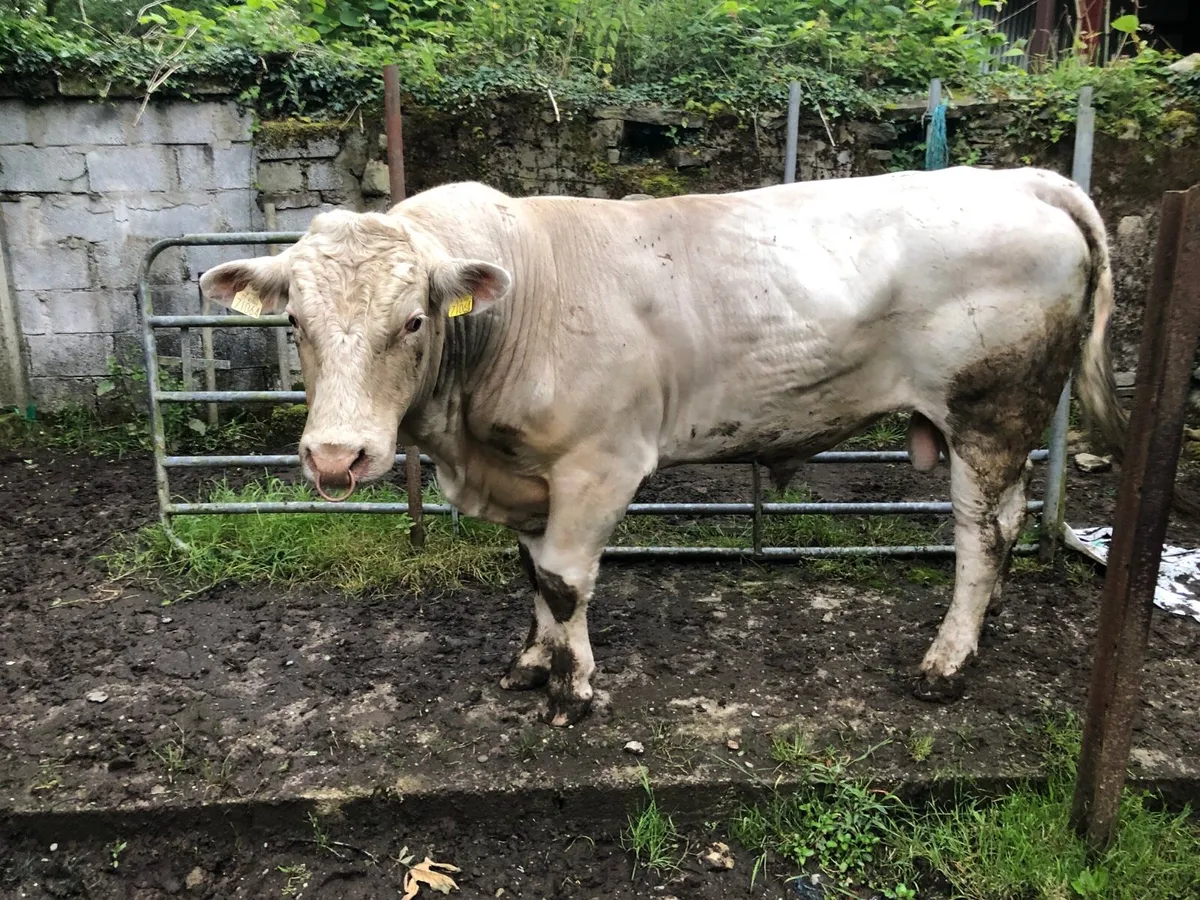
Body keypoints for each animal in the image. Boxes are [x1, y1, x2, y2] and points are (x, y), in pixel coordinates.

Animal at [199, 166, 1129, 727]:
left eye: (415, 320)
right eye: (295, 320)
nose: (336, 458)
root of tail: (1025, 178)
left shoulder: (599, 463)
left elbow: (566, 581)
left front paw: (572, 688)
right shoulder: (532, 473)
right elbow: (532, 575)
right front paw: (532, 662)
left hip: (990, 410)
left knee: (983, 534)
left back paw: (947, 659)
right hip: (1000, 423)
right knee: (1007, 521)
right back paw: (987, 625)